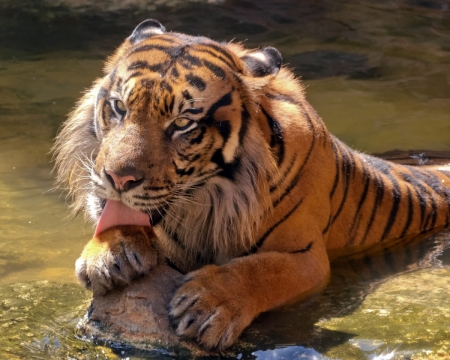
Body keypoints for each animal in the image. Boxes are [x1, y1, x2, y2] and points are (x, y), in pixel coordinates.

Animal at [53, 19, 450, 352]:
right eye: (119, 107)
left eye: (182, 123)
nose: (118, 178)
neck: (205, 201)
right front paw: (108, 254)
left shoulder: (307, 256)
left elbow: (260, 270)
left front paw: (208, 306)